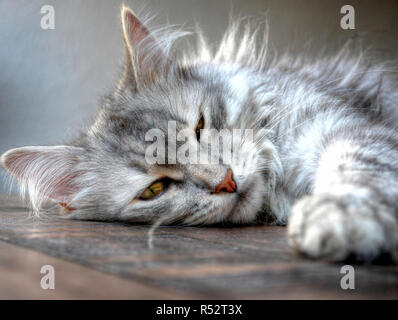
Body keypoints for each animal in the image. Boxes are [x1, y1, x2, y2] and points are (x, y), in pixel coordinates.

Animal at [0, 5, 398, 262]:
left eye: (200, 127)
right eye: (155, 189)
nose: (227, 181)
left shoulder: (343, 128)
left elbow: (357, 169)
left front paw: (334, 219)